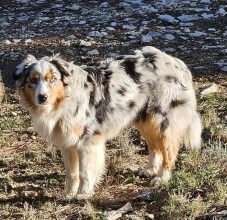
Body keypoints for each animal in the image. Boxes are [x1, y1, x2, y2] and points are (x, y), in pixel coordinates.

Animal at [13, 46, 202, 198]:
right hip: (144, 119)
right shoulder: (67, 143)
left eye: (53, 79)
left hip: (162, 120)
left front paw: (83, 194)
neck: (64, 101)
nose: (42, 97)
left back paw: (162, 178)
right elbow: (71, 173)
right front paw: (68, 194)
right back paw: (150, 170)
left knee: (169, 151)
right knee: (155, 147)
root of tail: (176, 62)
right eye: (33, 80)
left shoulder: (87, 143)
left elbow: (85, 172)